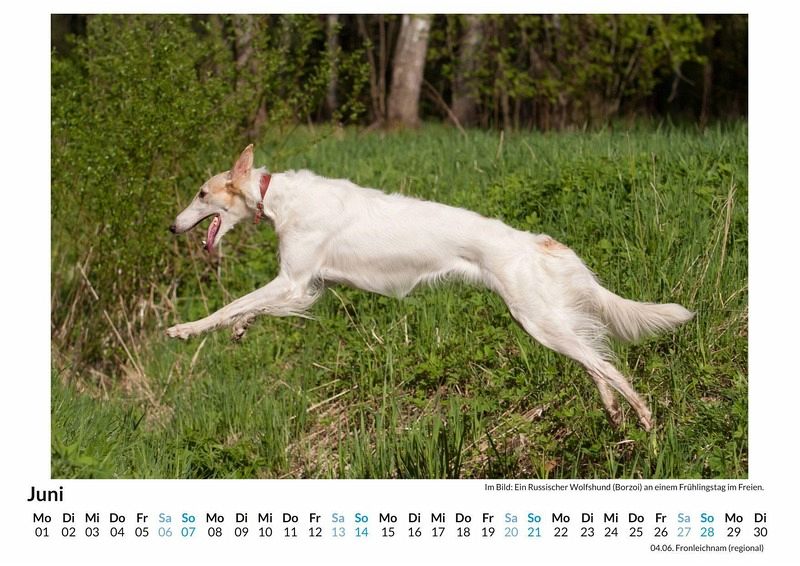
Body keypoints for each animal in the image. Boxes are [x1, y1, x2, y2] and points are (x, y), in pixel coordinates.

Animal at [167, 144, 693, 431]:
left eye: (200, 193)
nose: (172, 227)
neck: (277, 195)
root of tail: (534, 240)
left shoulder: (295, 283)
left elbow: (230, 305)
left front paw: (185, 329)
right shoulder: (305, 285)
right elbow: (244, 309)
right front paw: (238, 329)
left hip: (537, 319)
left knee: (608, 365)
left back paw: (644, 416)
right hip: (548, 320)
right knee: (597, 359)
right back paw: (616, 413)